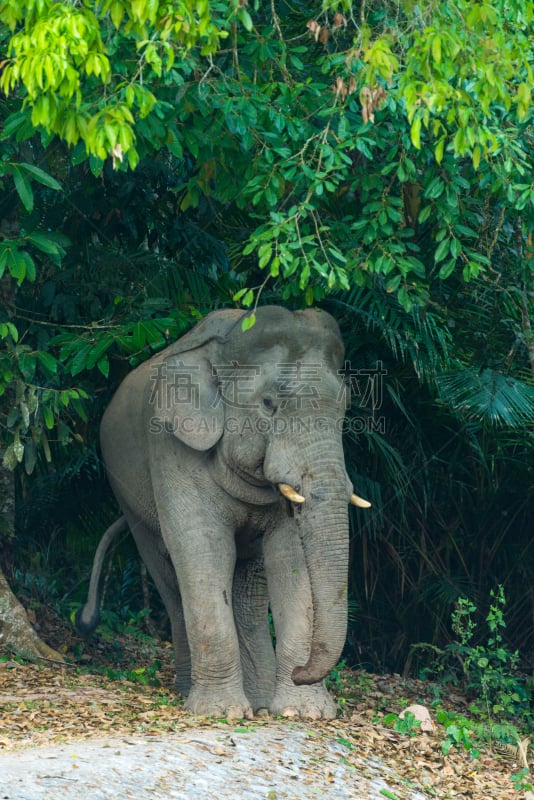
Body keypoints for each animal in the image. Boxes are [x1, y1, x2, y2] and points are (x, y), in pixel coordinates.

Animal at [78, 304, 372, 720]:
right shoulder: (170, 445)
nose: (301, 672)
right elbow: (203, 548)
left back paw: (259, 701)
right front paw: (221, 712)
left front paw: (303, 713)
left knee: (249, 588)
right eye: (269, 404)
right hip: (129, 500)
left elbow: (289, 556)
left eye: (345, 409)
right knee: (170, 581)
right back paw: (193, 690)